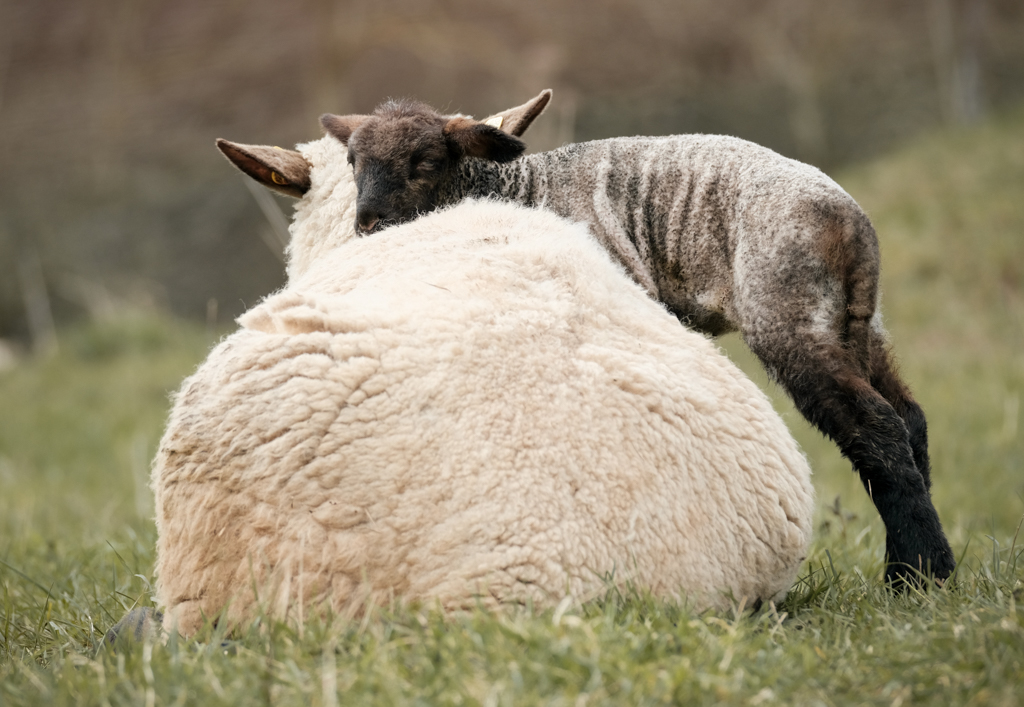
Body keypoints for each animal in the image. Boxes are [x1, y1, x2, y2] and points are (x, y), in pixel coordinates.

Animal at [311, 93, 955, 586]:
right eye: (353, 162)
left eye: (424, 160)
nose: (367, 225)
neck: (515, 187)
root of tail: (849, 223)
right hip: (857, 323)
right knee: (910, 419)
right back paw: (921, 563)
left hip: (789, 312)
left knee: (876, 427)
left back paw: (919, 575)